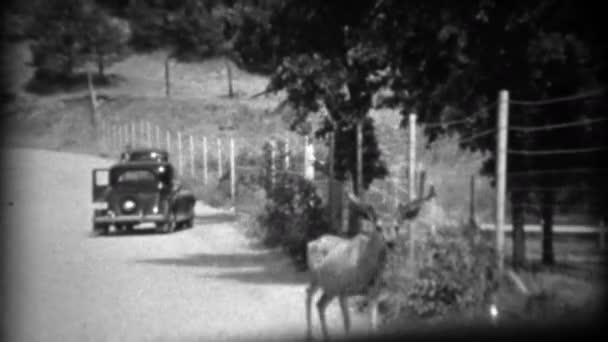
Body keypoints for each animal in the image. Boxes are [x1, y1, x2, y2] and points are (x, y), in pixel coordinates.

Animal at [306, 186, 440, 340]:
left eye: (397, 226)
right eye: (378, 227)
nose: (391, 243)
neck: (364, 270)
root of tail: (312, 242)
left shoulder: (374, 293)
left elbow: (373, 325)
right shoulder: (343, 289)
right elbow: (348, 324)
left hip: (330, 287)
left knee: (320, 304)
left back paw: (326, 336)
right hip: (317, 278)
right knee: (309, 294)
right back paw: (310, 335)